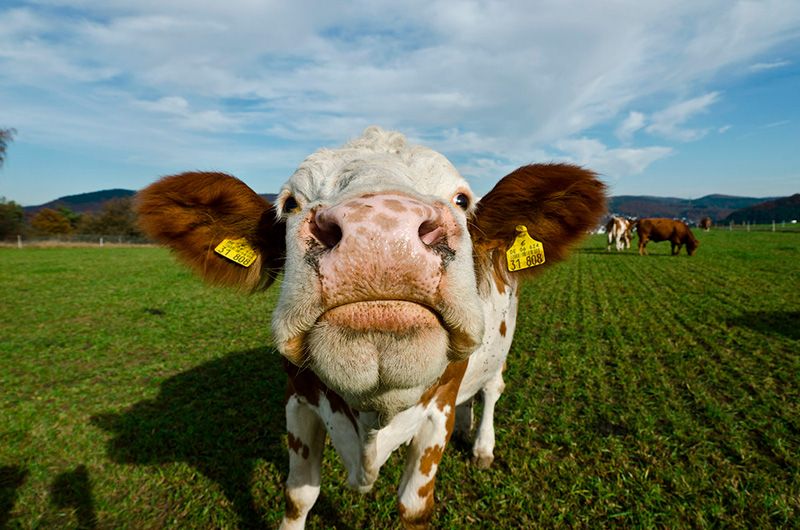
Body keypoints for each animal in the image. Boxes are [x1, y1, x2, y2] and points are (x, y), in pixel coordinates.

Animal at [136, 126, 608, 524]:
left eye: (462, 200)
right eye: (290, 203)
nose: (381, 229)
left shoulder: (438, 409)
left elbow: (413, 505)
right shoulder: (297, 399)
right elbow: (299, 496)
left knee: (492, 389)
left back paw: (482, 446)